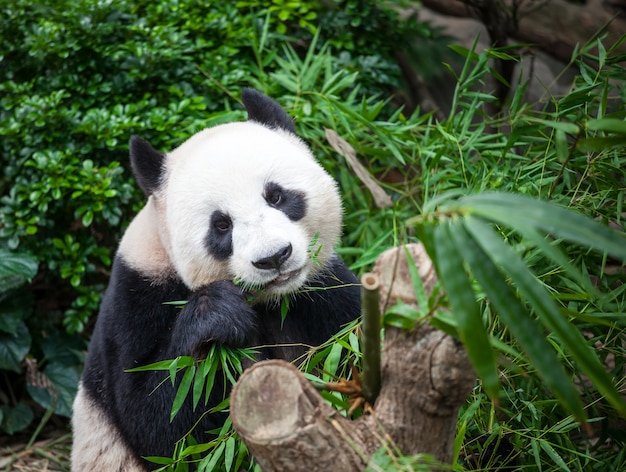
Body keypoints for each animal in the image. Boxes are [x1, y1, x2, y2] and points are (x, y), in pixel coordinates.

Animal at [70, 89, 358, 472]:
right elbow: (163, 427)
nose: (274, 257)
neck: (269, 302)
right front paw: (219, 316)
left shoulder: (323, 289)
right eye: (221, 225)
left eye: (276, 195)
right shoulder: (135, 298)